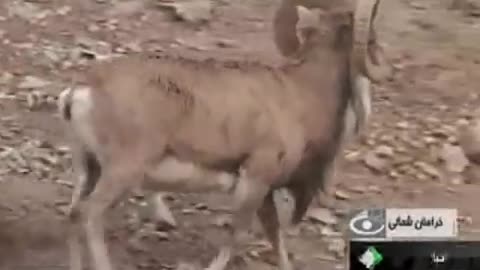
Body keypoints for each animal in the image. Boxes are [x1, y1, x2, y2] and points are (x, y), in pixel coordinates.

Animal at [58, 0, 392, 270]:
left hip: (90, 169)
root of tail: (81, 92)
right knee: (89, 217)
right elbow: (237, 235)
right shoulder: (255, 181)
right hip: (120, 175)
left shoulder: (265, 191)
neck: (301, 94)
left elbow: (275, 238)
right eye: (373, 39)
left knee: (73, 215)